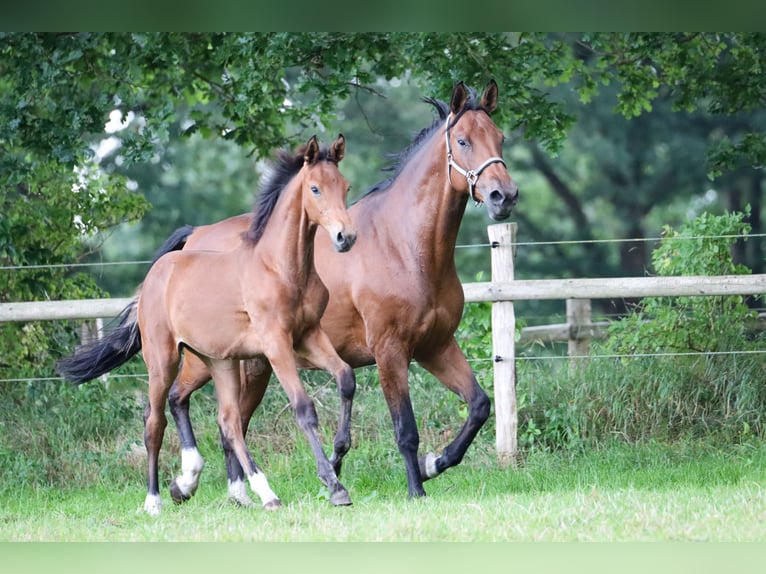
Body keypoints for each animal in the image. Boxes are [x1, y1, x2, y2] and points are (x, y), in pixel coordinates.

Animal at [58, 136, 358, 516]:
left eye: (345, 187)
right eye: (315, 188)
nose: (345, 237)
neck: (281, 268)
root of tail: (157, 271)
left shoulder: (309, 335)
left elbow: (345, 378)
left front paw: (338, 458)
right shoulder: (276, 344)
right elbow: (303, 408)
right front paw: (334, 485)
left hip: (220, 361)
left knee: (228, 422)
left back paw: (256, 493)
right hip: (164, 359)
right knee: (154, 422)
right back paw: (155, 499)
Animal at [166, 79, 520, 502]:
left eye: (499, 137)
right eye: (463, 141)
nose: (504, 196)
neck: (404, 245)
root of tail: (194, 238)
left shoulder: (435, 346)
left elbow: (479, 405)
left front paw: (432, 463)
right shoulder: (390, 351)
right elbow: (406, 429)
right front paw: (415, 487)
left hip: (252, 365)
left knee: (231, 424)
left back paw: (235, 493)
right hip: (213, 360)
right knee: (181, 400)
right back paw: (188, 482)